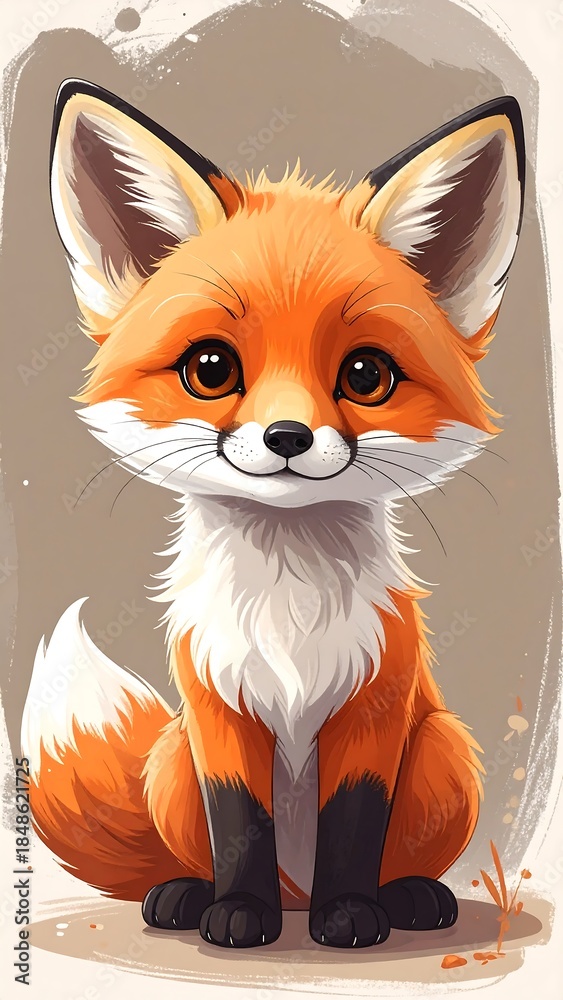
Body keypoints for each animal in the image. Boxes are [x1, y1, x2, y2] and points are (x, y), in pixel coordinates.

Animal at [21, 79, 525, 950]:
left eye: (364, 375)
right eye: (210, 368)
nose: (287, 437)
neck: (289, 608)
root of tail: (298, 887)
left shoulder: (373, 708)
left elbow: (354, 824)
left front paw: (350, 914)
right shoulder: (216, 713)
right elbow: (239, 823)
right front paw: (237, 913)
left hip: (442, 748)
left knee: (396, 858)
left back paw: (406, 897)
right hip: (171, 757)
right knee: (187, 856)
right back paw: (187, 895)